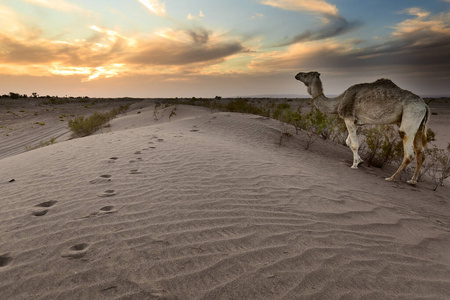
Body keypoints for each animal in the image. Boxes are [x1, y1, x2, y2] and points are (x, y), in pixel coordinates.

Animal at [294, 71, 430, 184]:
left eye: (306, 74)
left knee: (408, 149)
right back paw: (412, 180)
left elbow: (354, 144)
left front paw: (354, 165)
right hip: (419, 125)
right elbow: (348, 142)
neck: (339, 101)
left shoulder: (348, 117)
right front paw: (360, 161)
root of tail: (425, 106)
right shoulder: (356, 122)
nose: (297, 75)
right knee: (420, 153)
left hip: (411, 115)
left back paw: (391, 178)